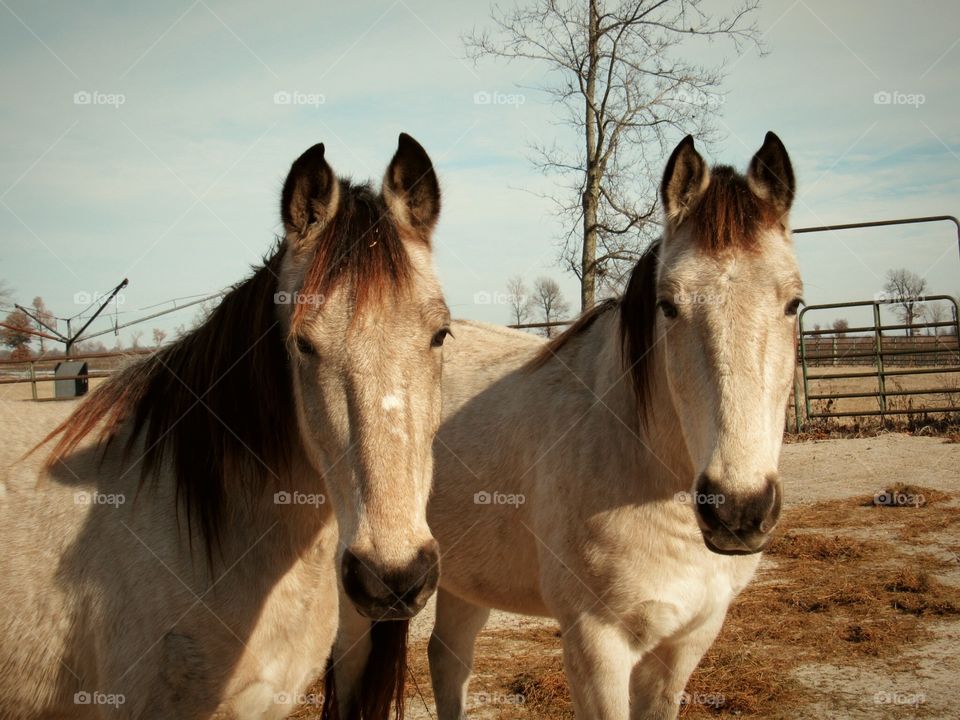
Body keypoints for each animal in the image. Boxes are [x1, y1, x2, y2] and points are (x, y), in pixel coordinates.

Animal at [334, 134, 800, 720]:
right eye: (669, 306)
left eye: (794, 304)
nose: (738, 510)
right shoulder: (596, 643)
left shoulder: (685, 645)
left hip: (463, 577)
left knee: (448, 658)